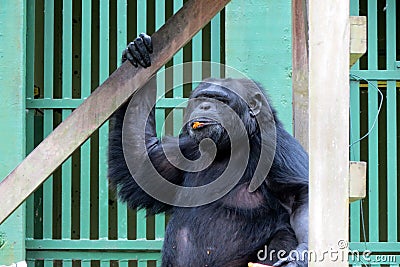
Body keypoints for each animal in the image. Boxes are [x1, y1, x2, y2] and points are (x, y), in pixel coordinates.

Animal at [107, 34, 310, 267]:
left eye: (219, 99)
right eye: (201, 98)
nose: (204, 106)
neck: (227, 147)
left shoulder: (275, 147)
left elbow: (300, 195)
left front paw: (301, 253)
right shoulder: (186, 146)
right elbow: (142, 166)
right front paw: (137, 53)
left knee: (282, 237)